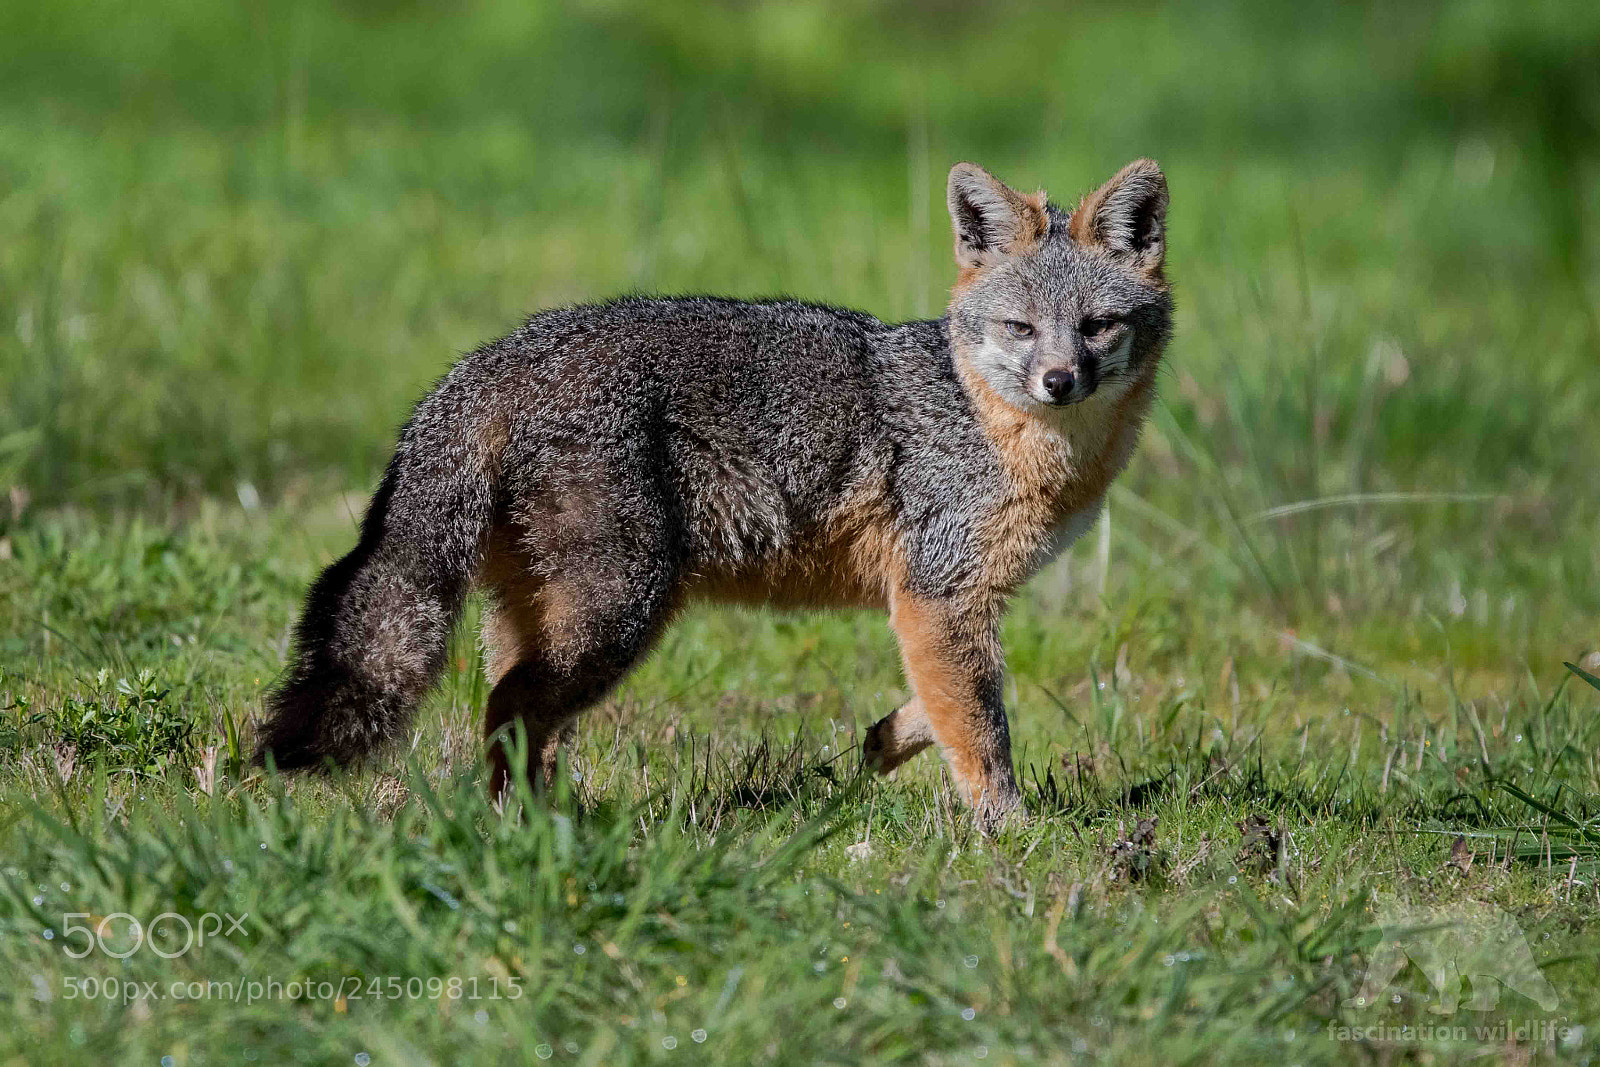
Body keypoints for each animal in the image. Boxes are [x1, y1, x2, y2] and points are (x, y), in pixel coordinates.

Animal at [254, 158, 1173, 828]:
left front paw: (884, 740)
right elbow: (984, 727)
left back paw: (535, 827)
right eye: (1021, 329)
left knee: (516, 718)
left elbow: (950, 701)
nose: (1060, 380)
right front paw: (1010, 829)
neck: (996, 427)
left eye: (1098, 327)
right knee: (510, 707)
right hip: (619, 613)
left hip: (543, 614)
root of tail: (498, 354)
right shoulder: (939, 591)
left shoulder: (945, 604)